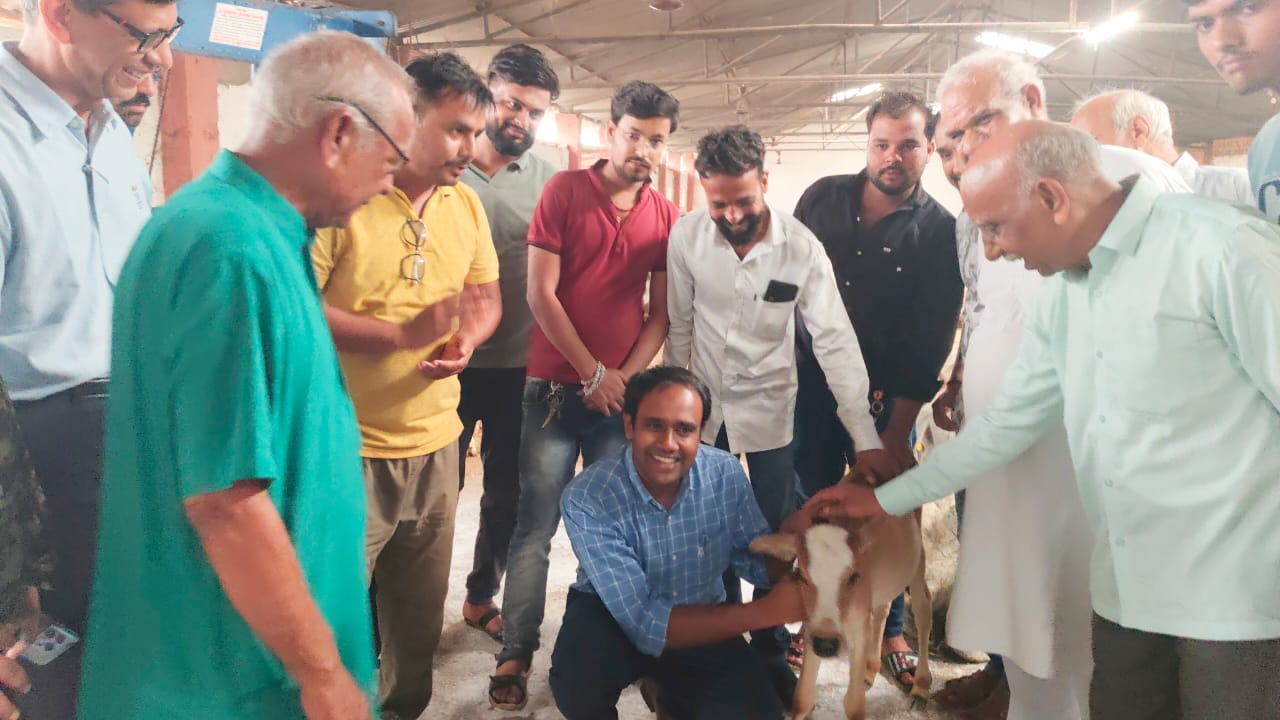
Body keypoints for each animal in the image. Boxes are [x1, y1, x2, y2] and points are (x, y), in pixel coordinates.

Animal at [751, 488, 932, 720]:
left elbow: (854, 705)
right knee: (883, 609)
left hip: (917, 559)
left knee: (923, 608)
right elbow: (803, 698)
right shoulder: (813, 626)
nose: (826, 644)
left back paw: (921, 686)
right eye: (801, 575)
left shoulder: (858, 625)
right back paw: (870, 670)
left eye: (854, 577)